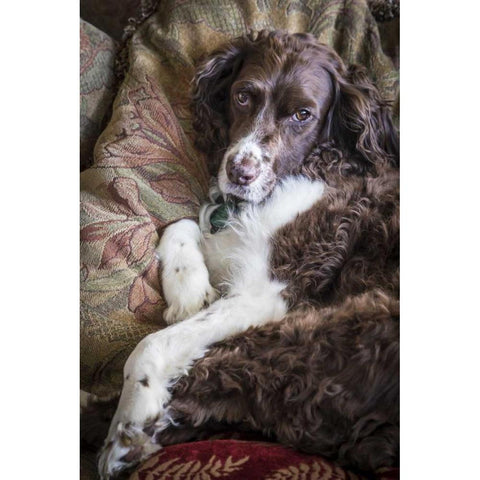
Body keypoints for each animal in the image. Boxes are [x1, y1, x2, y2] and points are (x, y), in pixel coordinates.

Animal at [98, 31, 402, 480]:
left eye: (303, 114)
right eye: (243, 96)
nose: (240, 173)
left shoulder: (270, 291)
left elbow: (154, 344)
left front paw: (132, 411)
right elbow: (180, 225)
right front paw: (189, 292)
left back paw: (127, 439)